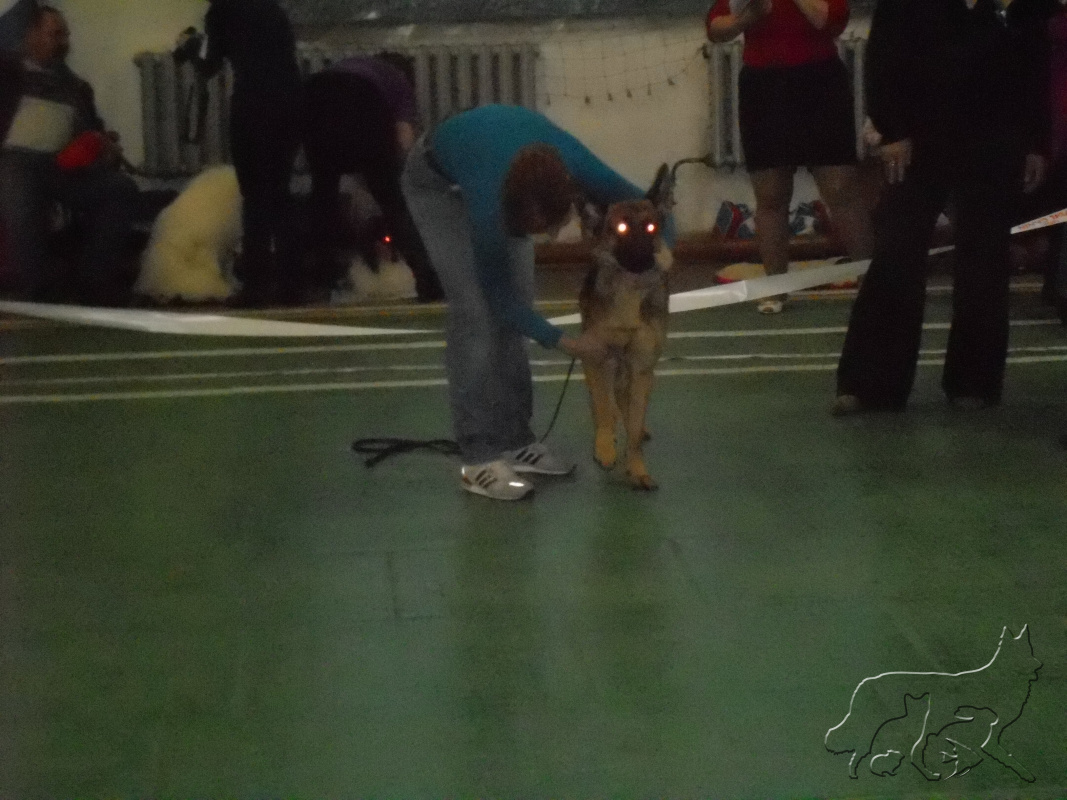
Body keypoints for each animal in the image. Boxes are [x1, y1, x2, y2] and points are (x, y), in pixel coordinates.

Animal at [578, 164, 674, 490]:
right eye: (620, 228)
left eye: (651, 228)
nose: (643, 258)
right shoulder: (596, 360)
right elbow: (604, 408)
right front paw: (605, 448)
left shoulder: (642, 367)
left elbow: (633, 425)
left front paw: (637, 469)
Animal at [825, 625, 1042, 782]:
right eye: (1026, 654)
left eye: (1031, 652)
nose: (1040, 664)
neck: (999, 678)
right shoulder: (990, 739)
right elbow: (1008, 759)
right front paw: (1027, 775)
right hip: (932, 722)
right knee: (914, 748)